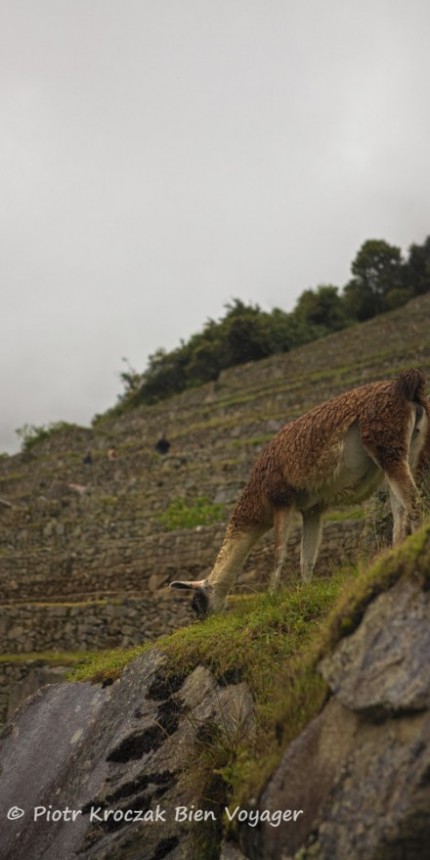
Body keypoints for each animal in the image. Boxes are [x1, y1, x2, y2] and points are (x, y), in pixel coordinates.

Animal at [170, 369, 430, 617]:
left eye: (197, 603)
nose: (202, 619)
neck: (258, 501)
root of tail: (405, 386)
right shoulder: (313, 508)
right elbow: (307, 557)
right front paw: (305, 592)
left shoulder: (282, 499)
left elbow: (280, 553)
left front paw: (271, 596)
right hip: (411, 448)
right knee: (401, 510)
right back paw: (393, 555)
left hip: (386, 445)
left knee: (414, 504)